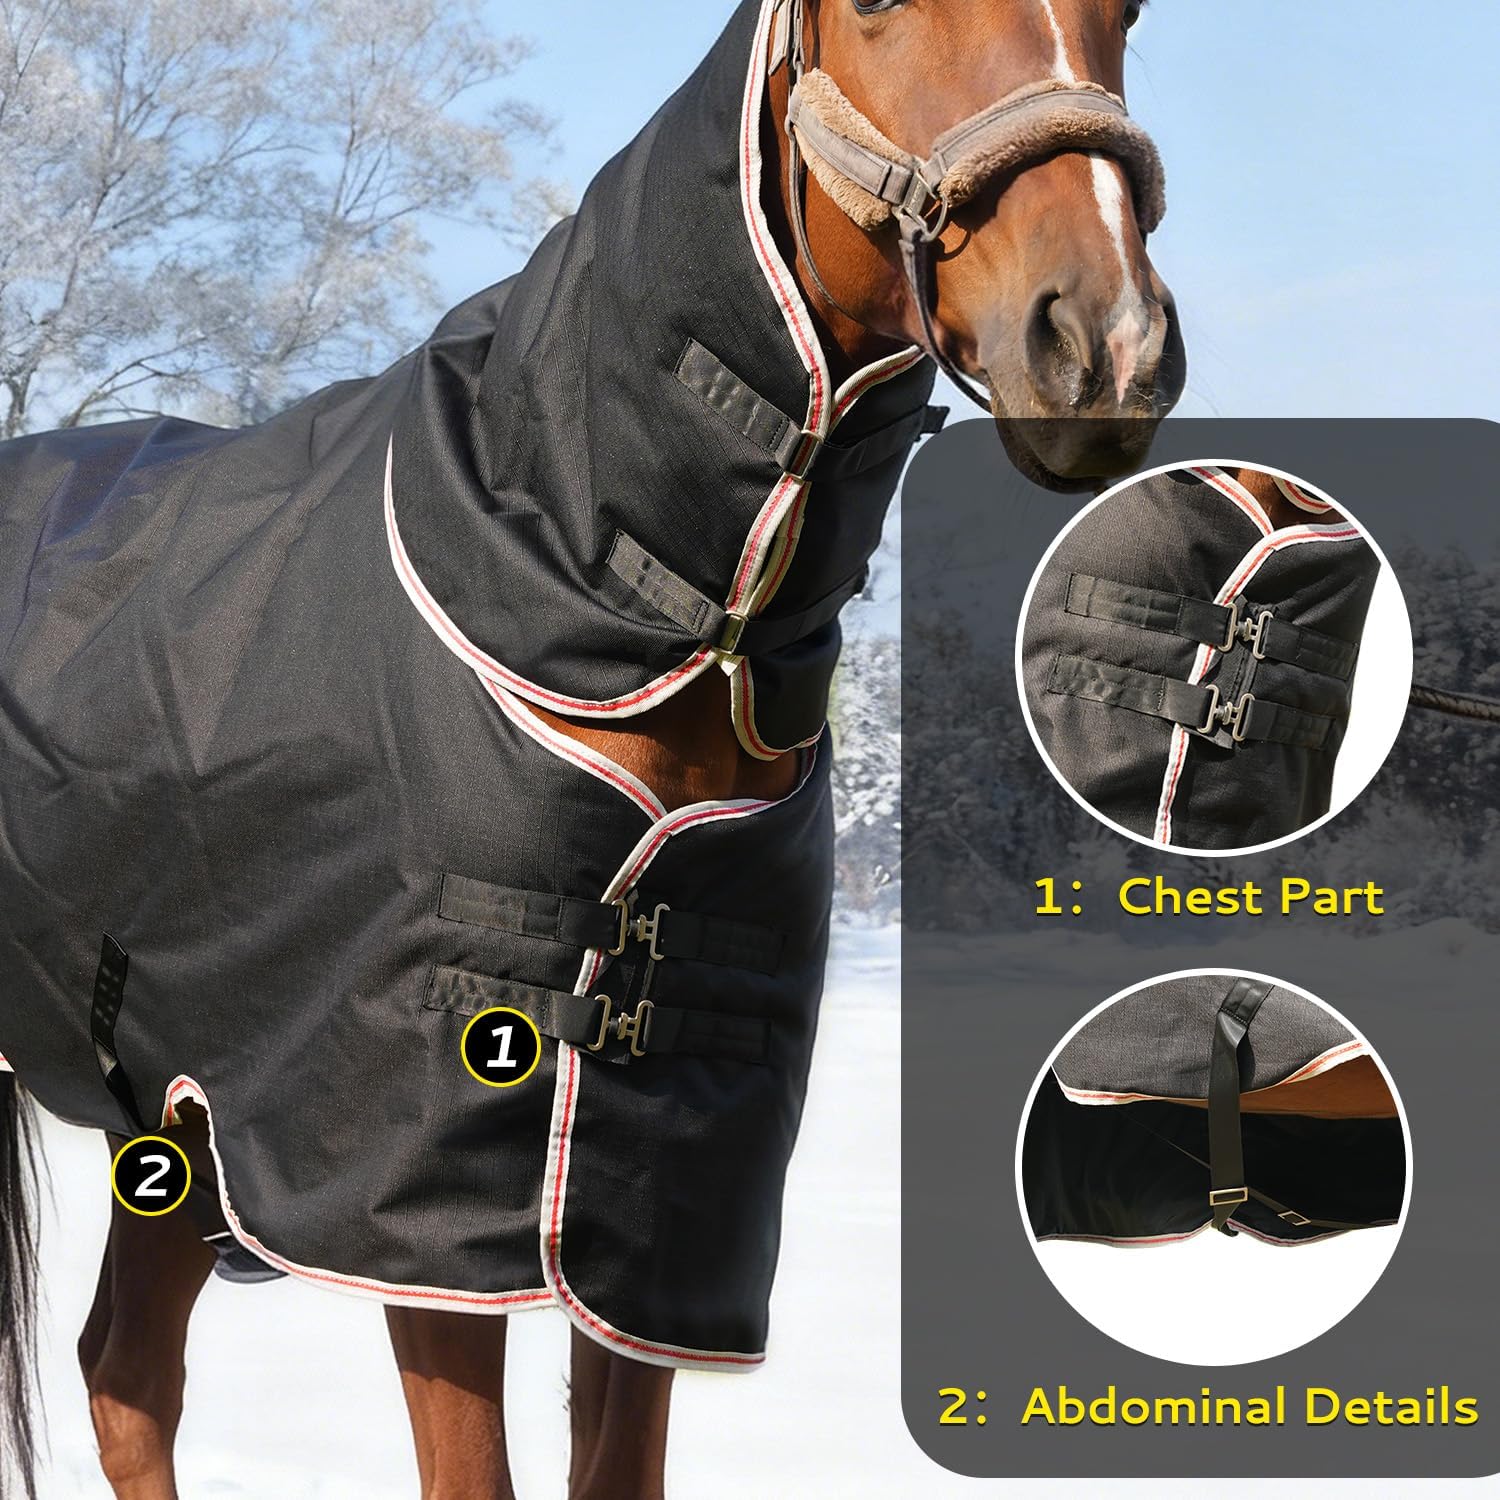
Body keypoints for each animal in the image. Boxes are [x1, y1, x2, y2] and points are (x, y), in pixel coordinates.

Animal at [0, 2, 1181, 1497]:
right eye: (872, 12)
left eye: (1126, 18)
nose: (1105, 345)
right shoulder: (427, 1201)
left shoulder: (658, 1194)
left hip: (172, 1121)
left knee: (125, 1372)